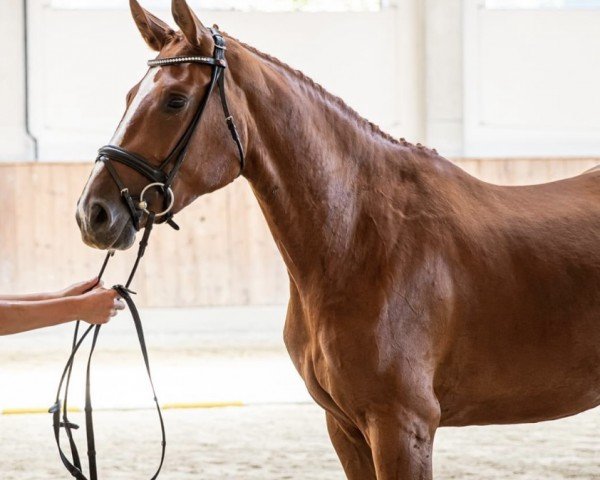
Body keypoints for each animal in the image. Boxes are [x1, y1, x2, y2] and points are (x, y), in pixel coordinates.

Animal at [76, 1, 600, 478]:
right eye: (129, 95)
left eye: (175, 101)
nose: (93, 213)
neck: (361, 241)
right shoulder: (345, 428)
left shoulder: (401, 427)